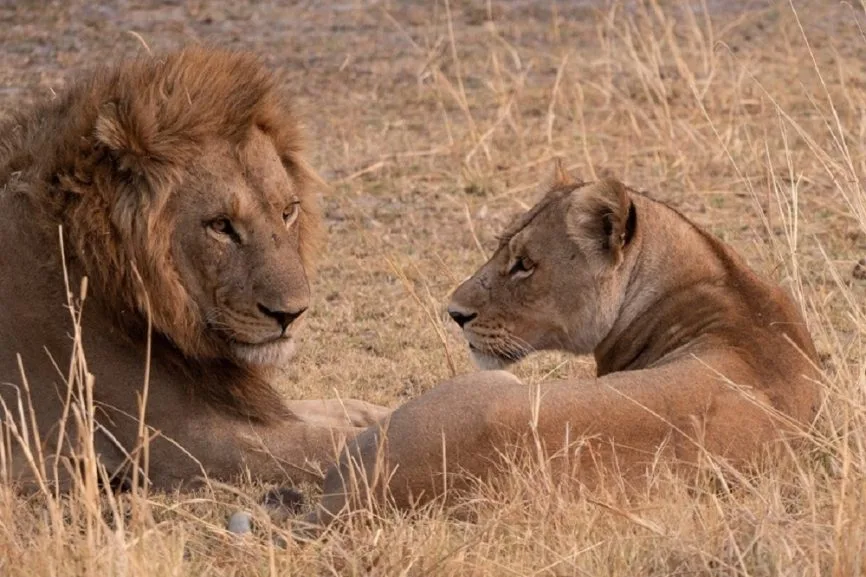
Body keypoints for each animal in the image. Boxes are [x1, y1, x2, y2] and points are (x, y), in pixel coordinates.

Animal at [0, 46, 389, 492]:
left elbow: (335, 410)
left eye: (288, 211)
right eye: (220, 225)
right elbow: (335, 442)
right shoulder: (188, 442)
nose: (292, 314)